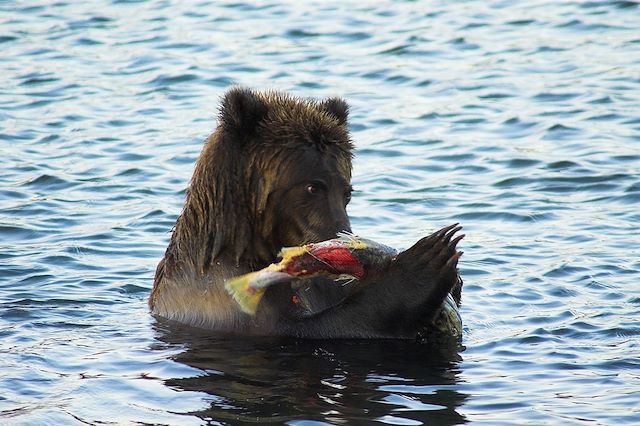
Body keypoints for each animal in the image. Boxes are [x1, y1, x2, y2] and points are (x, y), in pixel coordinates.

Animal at [149, 87, 460, 340]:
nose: (340, 234)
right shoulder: (218, 298)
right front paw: (427, 262)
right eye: (313, 187)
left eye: (347, 191)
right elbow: (317, 328)